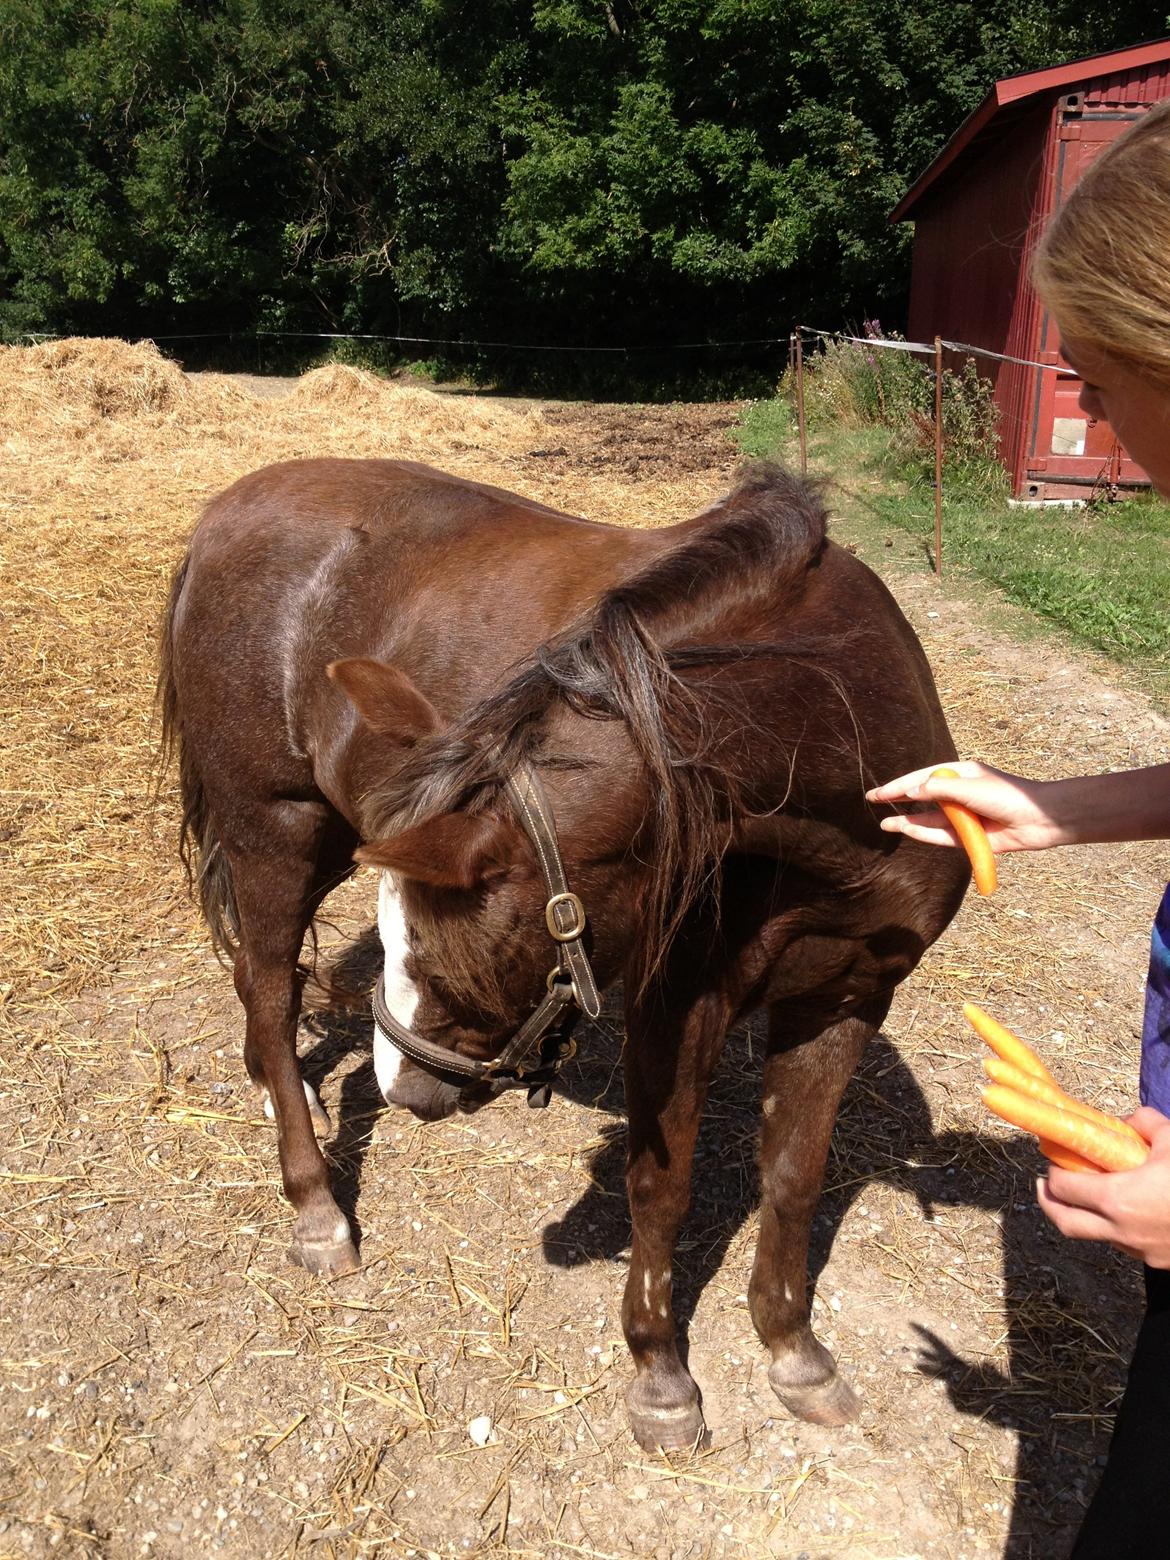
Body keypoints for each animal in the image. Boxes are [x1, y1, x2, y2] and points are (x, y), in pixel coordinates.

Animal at [158, 458, 973, 1447]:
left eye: (446, 948)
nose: (406, 1092)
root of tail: (221, 516)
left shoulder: (849, 993)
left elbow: (794, 1177)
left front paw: (794, 1350)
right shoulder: (679, 1002)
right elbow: (662, 1183)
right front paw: (660, 1374)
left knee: (257, 982)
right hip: (277, 829)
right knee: (272, 992)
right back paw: (316, 1204)